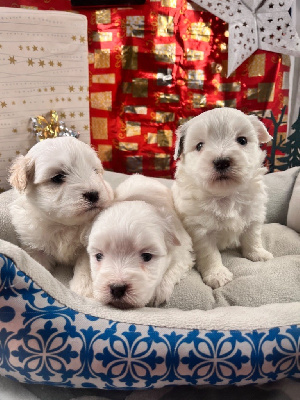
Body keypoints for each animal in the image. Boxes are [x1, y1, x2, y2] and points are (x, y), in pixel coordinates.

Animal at [8, 137, 113, 272]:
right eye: (57, 177)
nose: (94, 194)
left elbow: (84, 270)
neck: (62, 226)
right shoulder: (35, 247)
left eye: (95, 171)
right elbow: (40, 268)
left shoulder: (86, 251)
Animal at [69, 173, 195, 308]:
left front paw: (159, 291)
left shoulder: (183, 250)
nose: (117, 288)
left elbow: (176, 266)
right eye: (98, 256)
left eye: (147, 256)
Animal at [172, 108, 274, 290]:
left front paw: (257, 253)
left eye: (242, 140)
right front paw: (217, 274)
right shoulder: (201, 230)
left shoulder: (253, 215)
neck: (225, 195)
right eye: (199, 146)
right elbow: (210, 254)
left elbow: (252, 236)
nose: (221, 162)